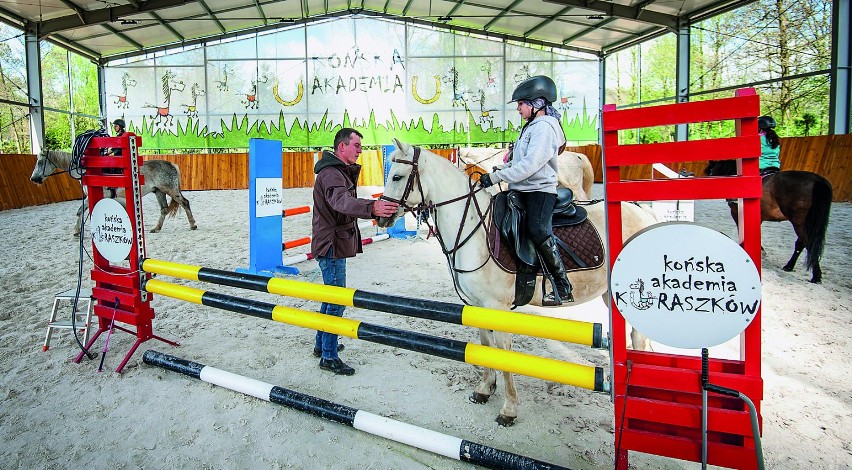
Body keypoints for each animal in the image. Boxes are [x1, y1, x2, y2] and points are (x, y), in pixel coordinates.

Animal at [30, 150, 198, 235]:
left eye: (40, 162)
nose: (33, 179)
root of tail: (171, 164)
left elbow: (84, 212)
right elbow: (83, 212)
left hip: (170, 190)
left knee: (185, 203)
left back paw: (192, 225)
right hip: (158, 192)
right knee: (164, 209)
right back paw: (156, 228)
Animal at [704, 161, 832, 282]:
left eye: (710, 172)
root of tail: (817, 180)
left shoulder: (736, 212)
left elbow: (742, 230)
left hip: (799, 222)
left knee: (809, 243)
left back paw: (816, 276)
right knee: (801, 243)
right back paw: (789, 267)